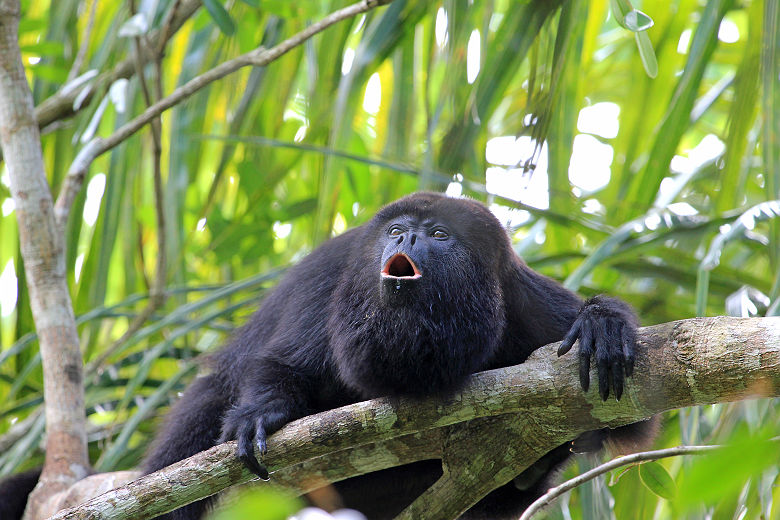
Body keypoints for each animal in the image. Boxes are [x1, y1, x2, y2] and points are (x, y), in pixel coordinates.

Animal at [0, 193, 648, 520]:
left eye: (440, 235)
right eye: (396, 231)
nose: (408, 237)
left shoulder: (523, 299)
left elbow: (631, 418)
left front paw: (602, 323)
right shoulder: (338, 274)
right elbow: (284, 366)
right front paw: (261, 414)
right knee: (206, 407)